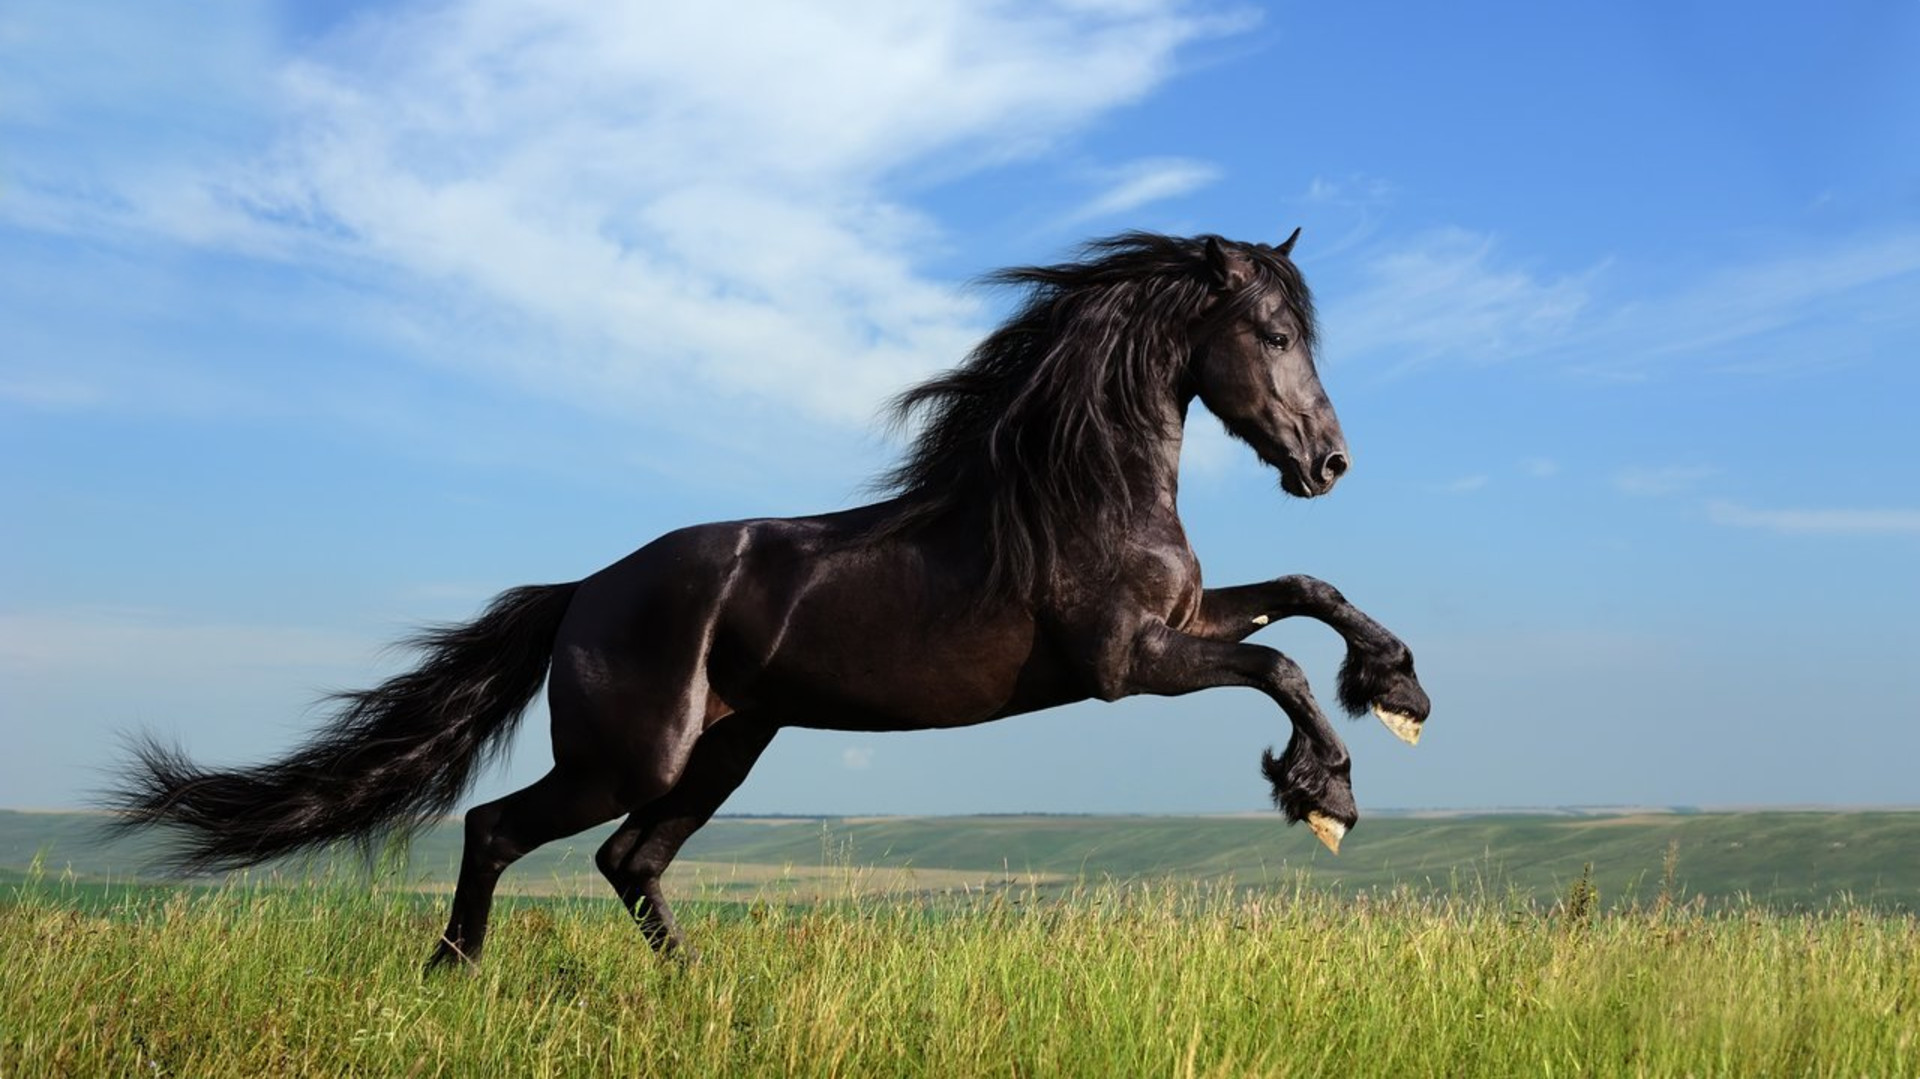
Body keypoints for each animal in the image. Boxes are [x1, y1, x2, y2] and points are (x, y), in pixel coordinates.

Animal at [105, 228, 1428, 967]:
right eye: (1271, 332)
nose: (1328, 462)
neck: (1078, 490)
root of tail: (581, 592)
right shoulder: (1126, 660)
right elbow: (1279, 663)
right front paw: (1326, 793)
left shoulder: (1183, 621)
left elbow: (1306, 590)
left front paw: (1398, 689)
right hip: (630, 753)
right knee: (501, 830)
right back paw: (453, 973)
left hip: (727, 748)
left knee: (629, 860)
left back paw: (695, 986)